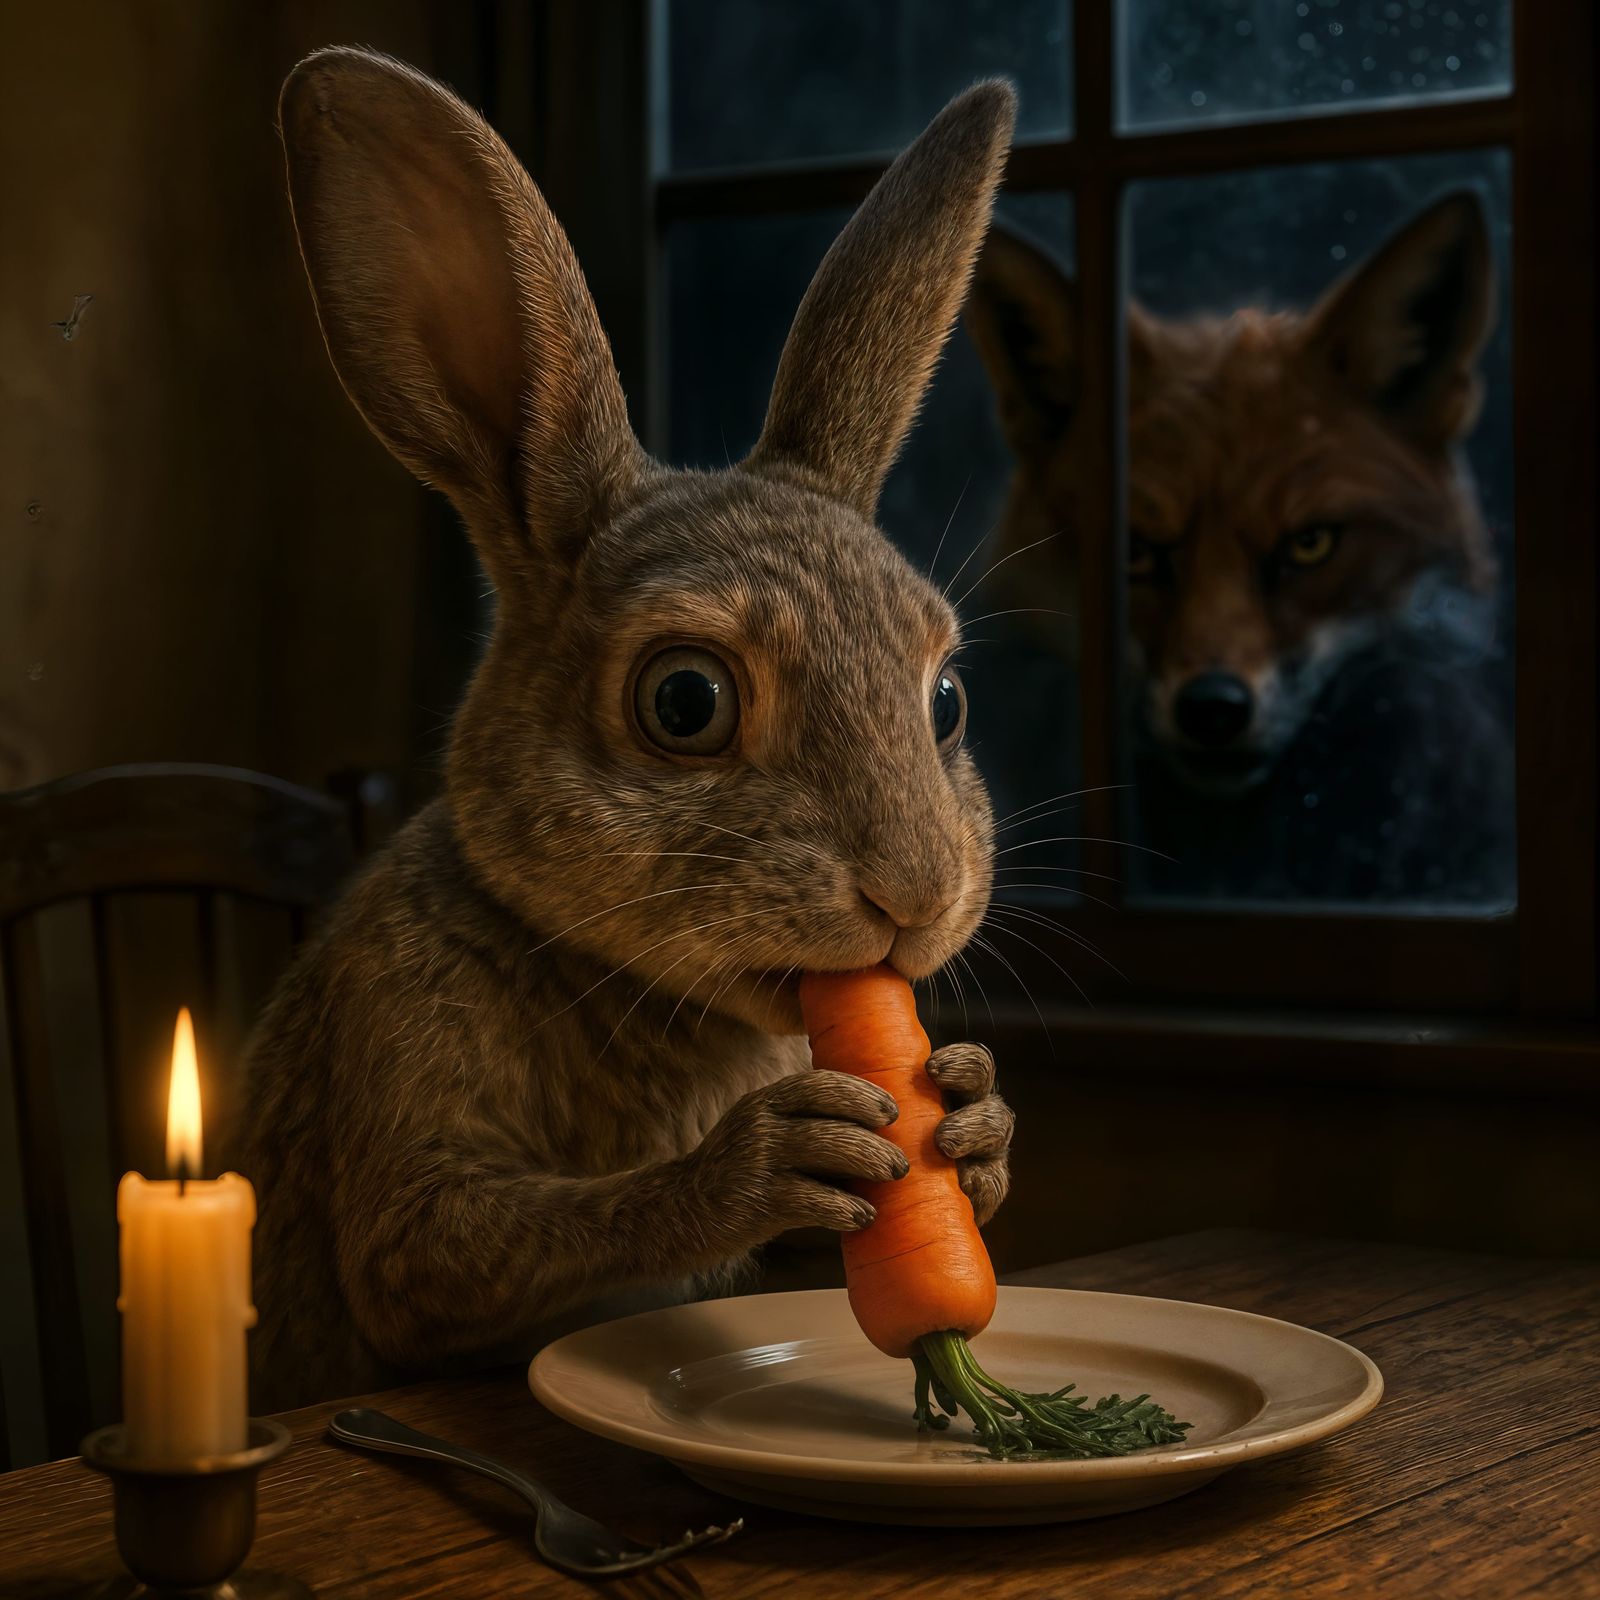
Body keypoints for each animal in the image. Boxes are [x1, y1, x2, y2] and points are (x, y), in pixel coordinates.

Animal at [236, 46, 1018, 1411]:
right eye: (683, 702)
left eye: (946, 701)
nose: (915, 895)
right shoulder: (407, 1125)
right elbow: (447, 1245)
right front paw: (762, 1162)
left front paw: (972, 1124)